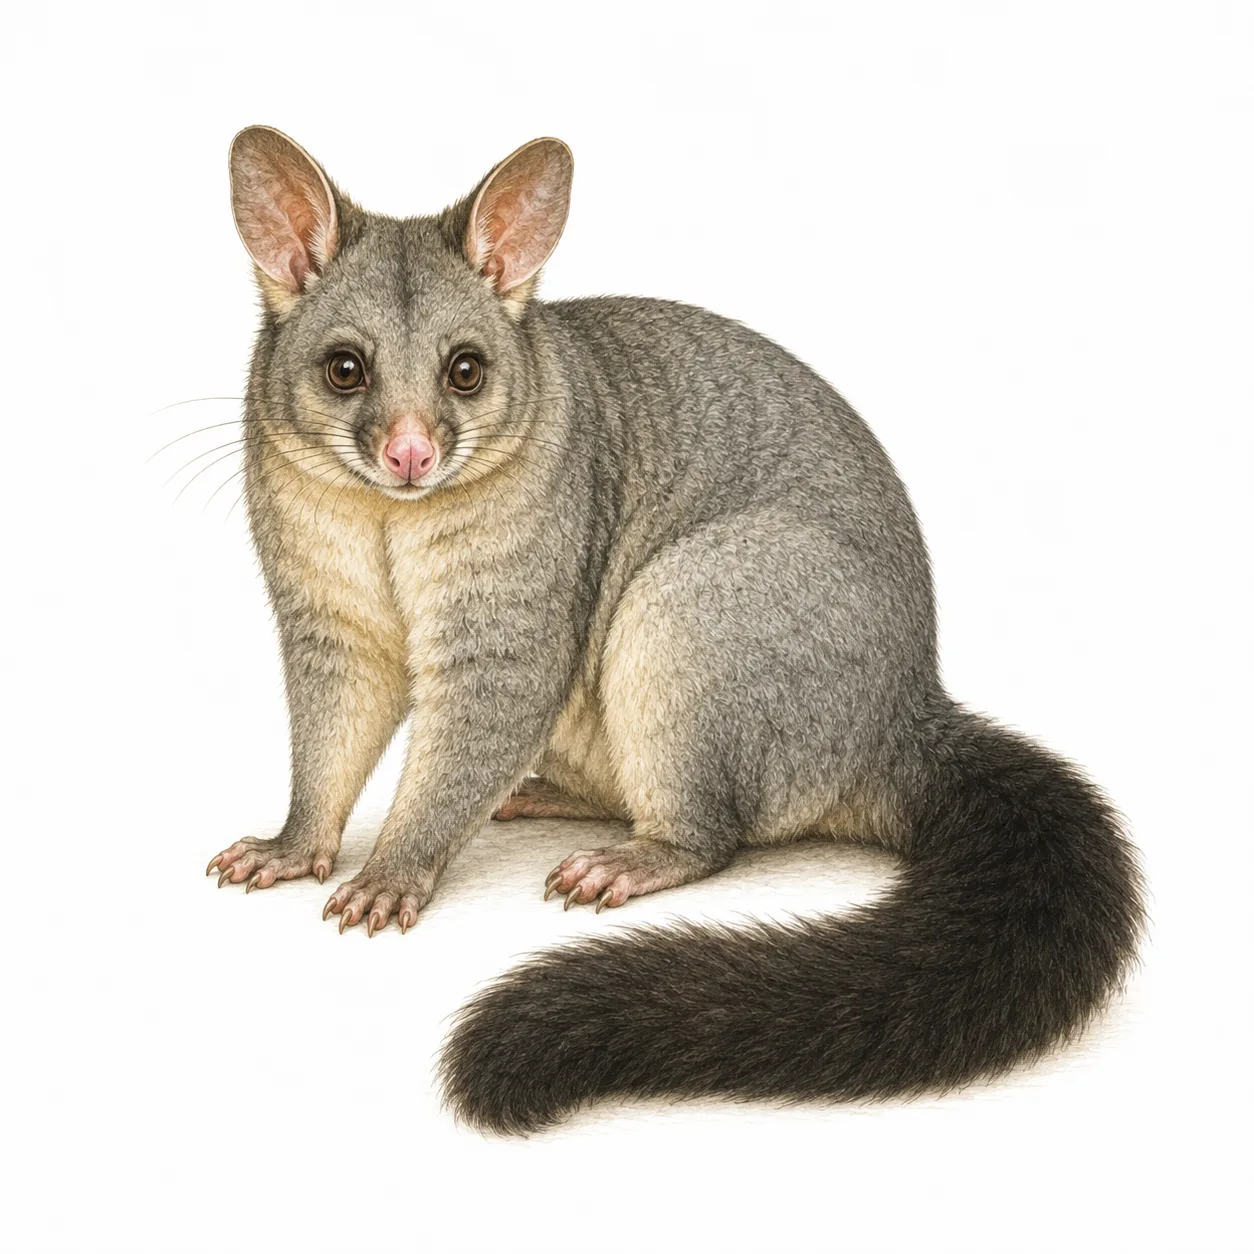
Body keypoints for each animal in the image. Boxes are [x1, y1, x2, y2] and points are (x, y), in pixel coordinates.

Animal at [206, 125, 1143, 1134]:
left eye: (466, 370)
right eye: (345, 369)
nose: (410, 453)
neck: (391, 513)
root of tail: (899, 720)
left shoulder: (531, 574)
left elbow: (498, 694)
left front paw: (391, 871)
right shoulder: (318, 597)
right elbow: (334, 711)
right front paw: (293, 846)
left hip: (708, 610)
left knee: (712, 827)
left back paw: (639, 857)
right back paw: (550, 797)